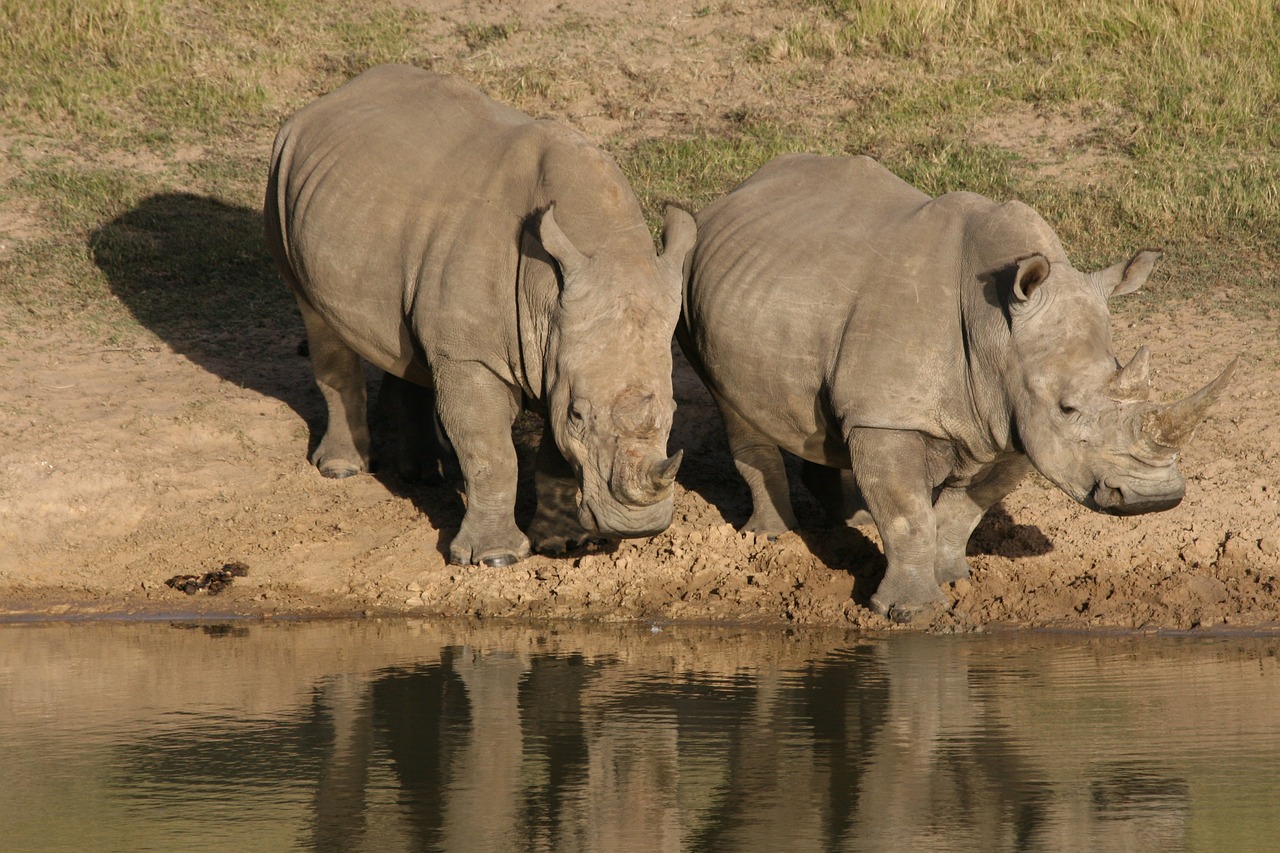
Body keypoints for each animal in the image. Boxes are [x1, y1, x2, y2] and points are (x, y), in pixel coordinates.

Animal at [680, 153, 1228, 617]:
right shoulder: (892, 415)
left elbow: (962, 511)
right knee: (731, 402)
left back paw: (853, 520)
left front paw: (954, 581)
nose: (1153, 498)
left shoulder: (1011, 423)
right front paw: (911, 611)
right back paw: (768, 538)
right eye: (1067, 408)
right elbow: (908, 514)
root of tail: (738, 190)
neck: (998, 334)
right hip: (693, 274)